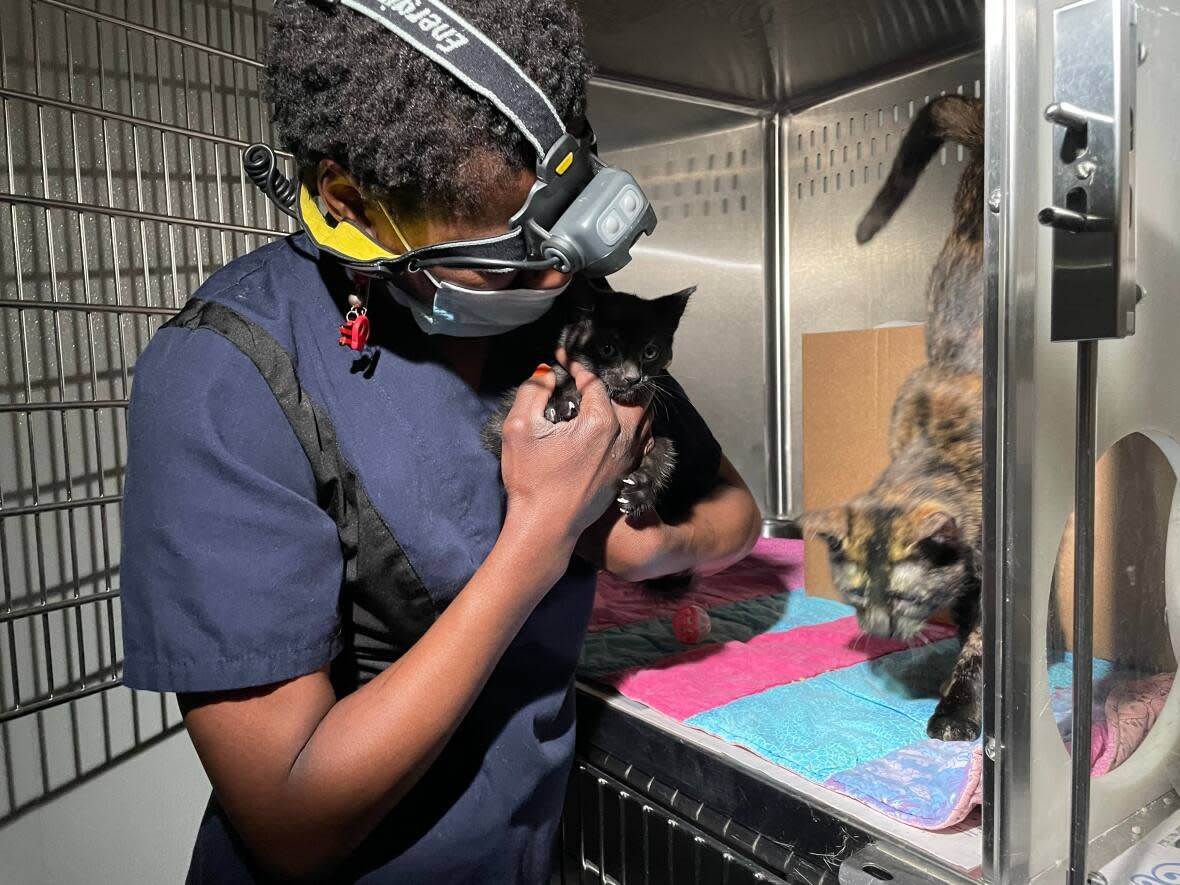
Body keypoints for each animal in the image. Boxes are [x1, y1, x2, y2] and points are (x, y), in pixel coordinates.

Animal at [483, 284, 693, 519]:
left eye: (650, 352)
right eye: (607, 349)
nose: (633, 378)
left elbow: (667, 448)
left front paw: (642, 488)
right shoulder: (499, 423)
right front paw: (560, 406)